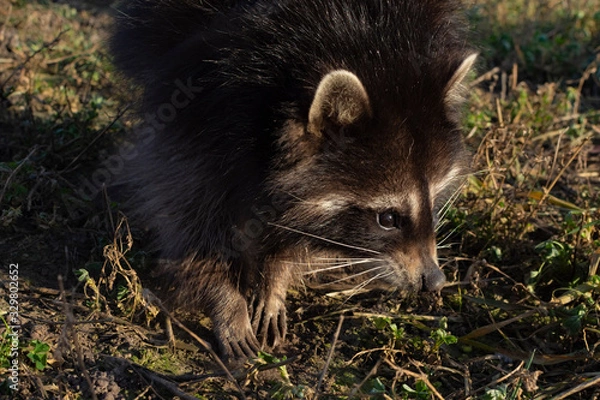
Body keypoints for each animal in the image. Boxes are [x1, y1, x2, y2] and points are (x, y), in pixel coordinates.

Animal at [110, 0, 478, 360]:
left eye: (434, 200)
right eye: (388, 218)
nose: (435, 280)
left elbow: (291, 229)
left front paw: (275, 278)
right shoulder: (202, 106)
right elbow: (188, 210)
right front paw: (224, 299)